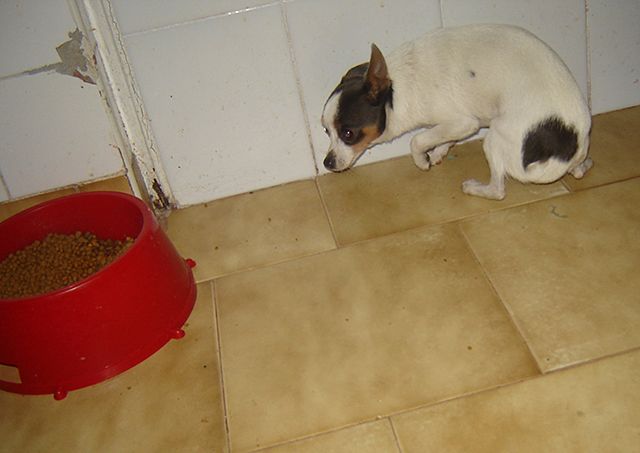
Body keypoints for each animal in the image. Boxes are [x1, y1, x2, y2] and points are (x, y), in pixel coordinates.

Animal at [321, 24, 592, 200]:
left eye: (347, 133)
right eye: (326, 131)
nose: (327, 162)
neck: (397, 90)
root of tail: (568, 145)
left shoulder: (464, 122)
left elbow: (417, 140)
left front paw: (423, 160)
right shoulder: (460, 125)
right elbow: (442, 138)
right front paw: (439, 152)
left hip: (495, 138)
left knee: (498, 190)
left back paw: (476, 189)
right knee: (577, 171)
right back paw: (582, 166)